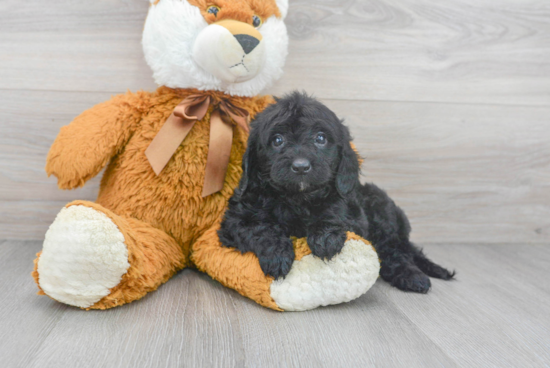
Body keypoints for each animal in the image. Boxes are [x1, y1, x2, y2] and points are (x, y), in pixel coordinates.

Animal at [220, 92, 458, 294]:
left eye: (320, 138)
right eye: (277, 140)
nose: (301, 166)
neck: (297, 198)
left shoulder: (354, 215)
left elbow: (334, 212)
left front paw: (325, 238)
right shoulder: (233, 222)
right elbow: (259, 228)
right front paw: (277, 255)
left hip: (381, 206)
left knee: (395, 250)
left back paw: (412, 277)